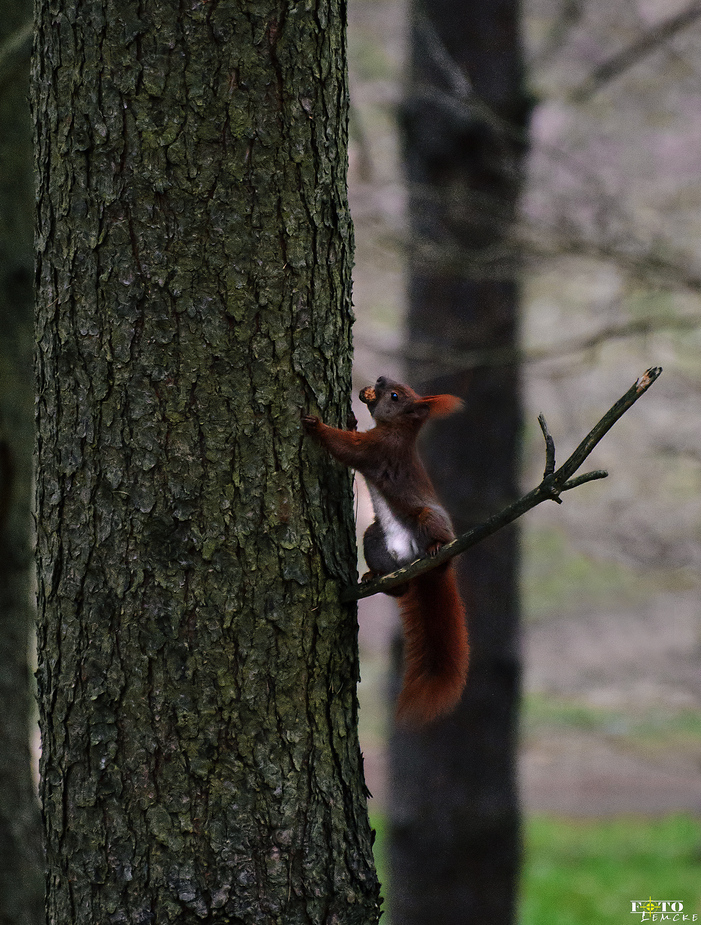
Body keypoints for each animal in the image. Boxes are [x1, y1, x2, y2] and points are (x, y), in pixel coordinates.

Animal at [304, 374, 468, 720]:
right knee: (400, 588)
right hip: (374, 537)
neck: (398, 431)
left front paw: (317, 426)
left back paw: (436, 549)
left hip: (428, 519)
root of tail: (421, 568)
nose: (379, 379)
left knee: (437, 541)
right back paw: (375, 578)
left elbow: (348, 448)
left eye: (394, 395)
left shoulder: (377, 450)